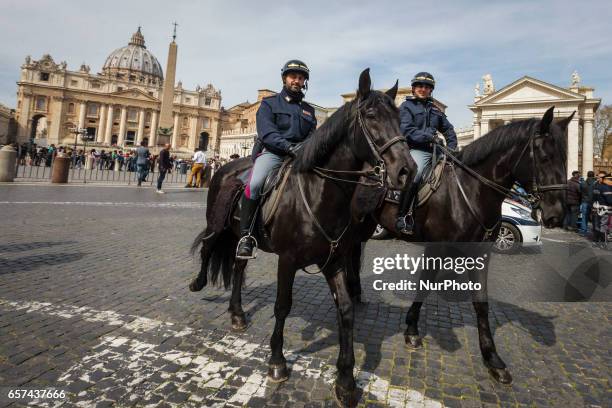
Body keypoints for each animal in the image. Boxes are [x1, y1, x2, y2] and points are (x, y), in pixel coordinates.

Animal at [188, 70, 416, 404]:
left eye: (400, 118)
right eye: (371, 116)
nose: (407, 170)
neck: (319, 193)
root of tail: (228, 167)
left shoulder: (334, 261)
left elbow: (346, 310)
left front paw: (345, 381)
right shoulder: (287, 261)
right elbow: (283, 306)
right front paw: (277, 362)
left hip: (240, 236)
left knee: (238, 265)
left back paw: (237, 314)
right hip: (218, 224)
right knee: (207, 247)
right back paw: (199, 283)